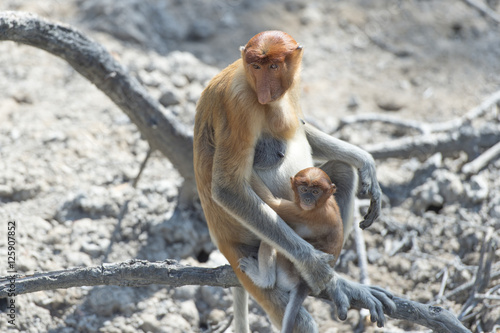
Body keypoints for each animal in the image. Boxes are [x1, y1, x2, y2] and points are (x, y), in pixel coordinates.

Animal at [239, 167, 344, 332]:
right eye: (304, 189)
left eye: (315, 192)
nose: (307, 200)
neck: (323, 204)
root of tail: (304, 285)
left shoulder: (305, 213)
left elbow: (271, 204)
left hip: (286, 270)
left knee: (269, 241)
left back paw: (262, 278)